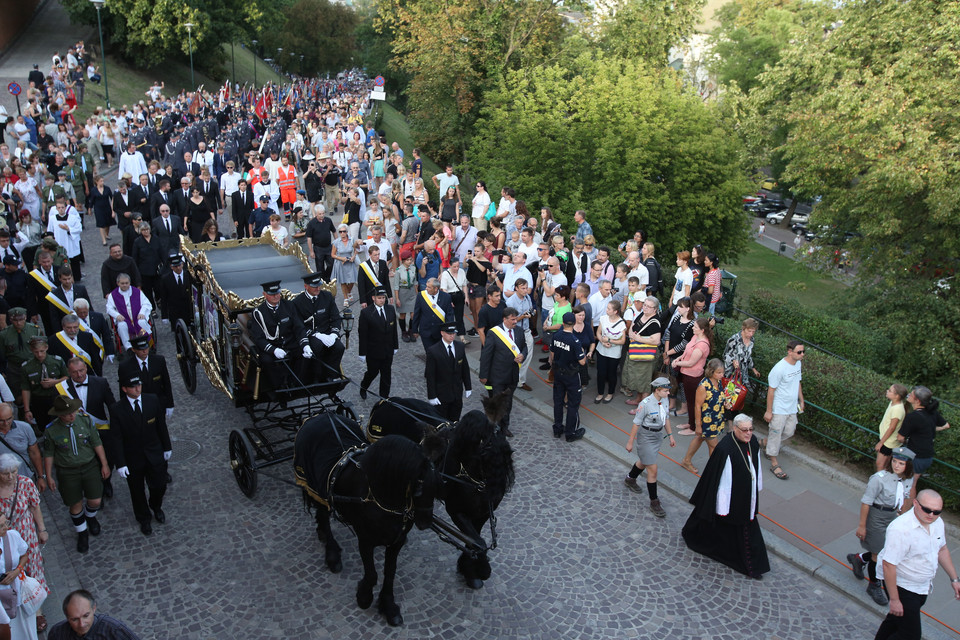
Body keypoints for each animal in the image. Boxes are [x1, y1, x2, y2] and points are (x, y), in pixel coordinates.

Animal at [294, 410, 440, 624]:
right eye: (419, 487)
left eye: (438, 484)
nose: (425, 522)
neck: (380, 498)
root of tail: (319, 415)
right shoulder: (365, 540)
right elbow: (372, 574)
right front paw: (364, 597)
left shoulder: (396, 542)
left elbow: (390, 573)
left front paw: (388, 605)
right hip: (314, 484)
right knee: (323, 513)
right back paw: (332, 553)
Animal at [368, 396, 516, 592]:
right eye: (462, 437)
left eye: (472, 438)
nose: (443, 470)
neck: (476, 481)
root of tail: (388, 401)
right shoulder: (457, 511)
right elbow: (478, 542)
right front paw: (481, 568)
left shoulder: (482, 514)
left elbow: (475, 539)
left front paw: (470, 571)